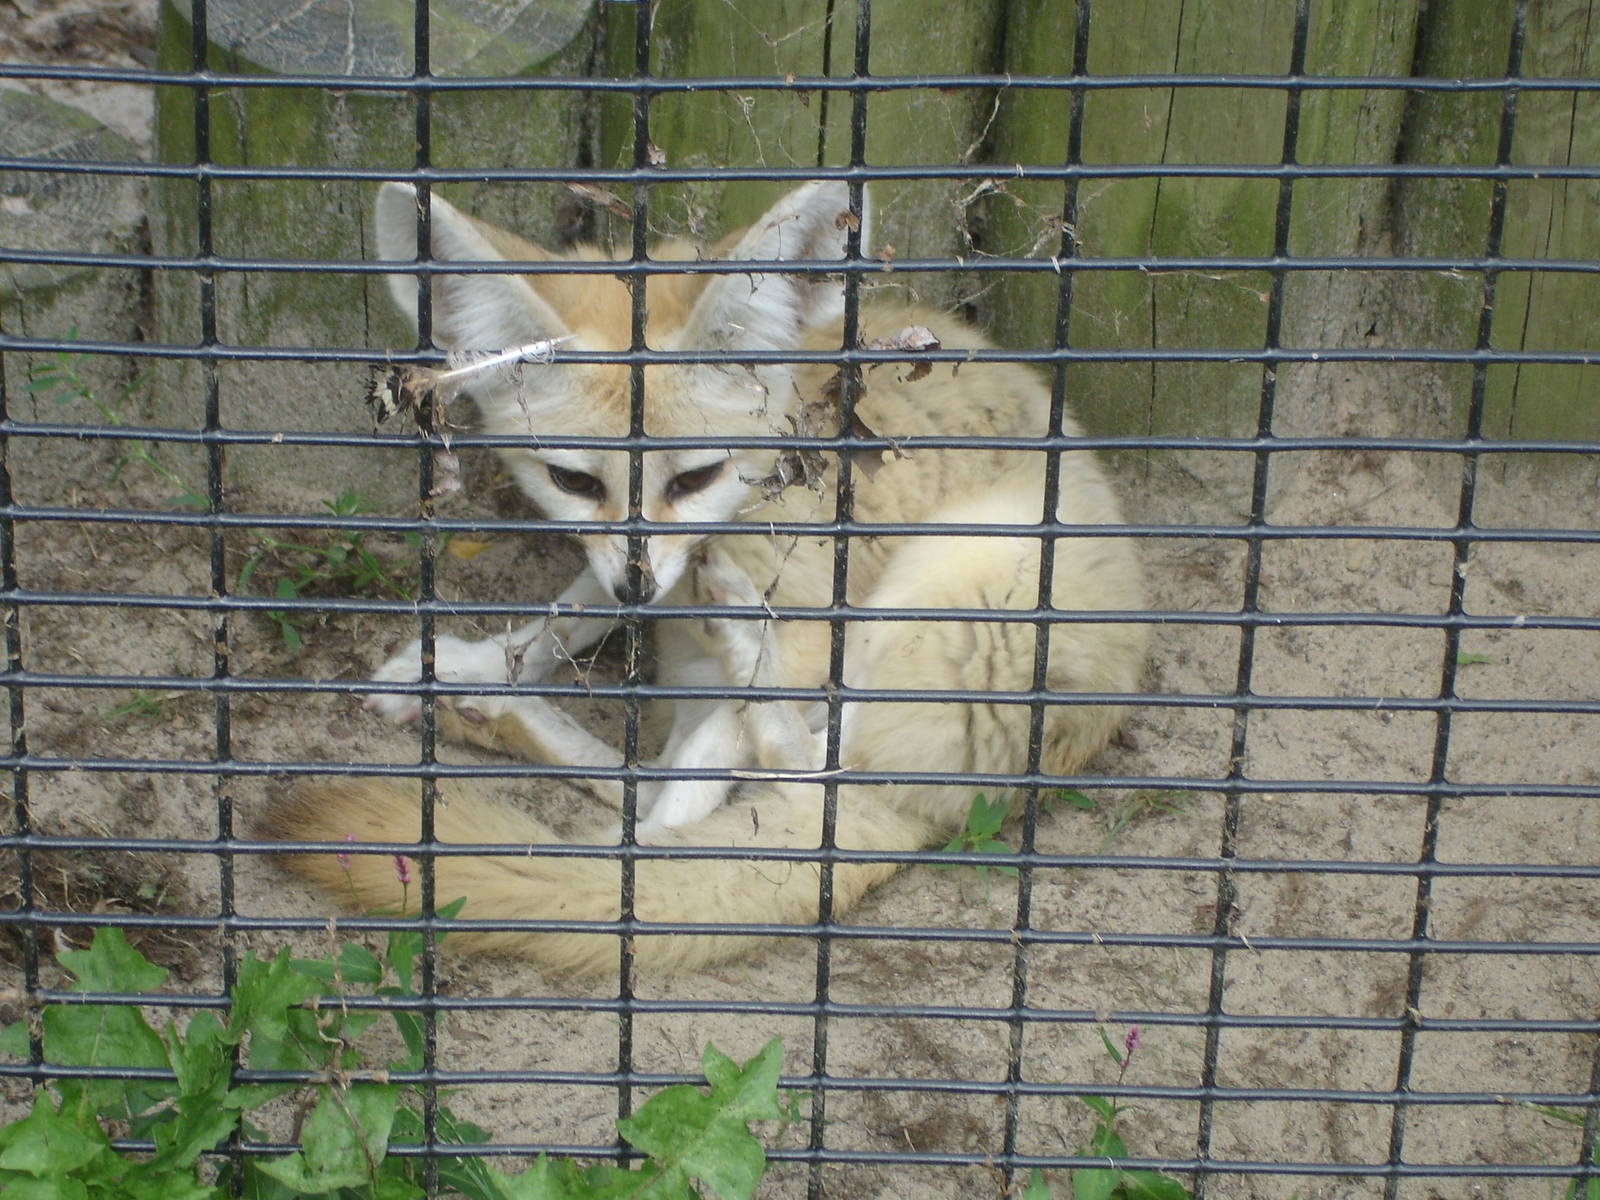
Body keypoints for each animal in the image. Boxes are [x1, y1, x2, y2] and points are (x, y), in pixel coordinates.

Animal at [264, 179, 1148, 975]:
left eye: (695, 477)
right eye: (573, 480)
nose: (642, 592)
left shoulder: (793, 612)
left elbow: (697, 770)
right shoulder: (637, 568)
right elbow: (563, 621)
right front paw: (480, 664)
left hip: (956, 573)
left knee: (781, 775)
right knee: (664, 781)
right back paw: (486, 710)